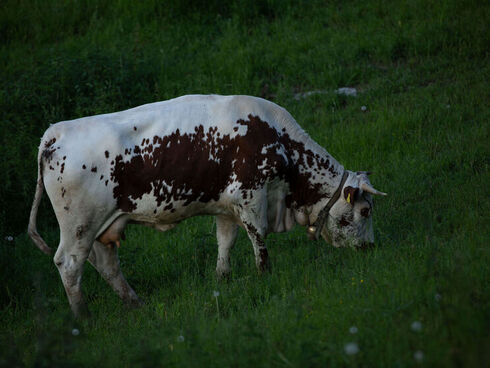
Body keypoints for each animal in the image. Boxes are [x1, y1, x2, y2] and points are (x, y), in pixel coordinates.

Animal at [27, 95, 386, 316]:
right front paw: (264, 276)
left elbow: (225, 242)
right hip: (79, 226)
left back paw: (135, 304)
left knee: (107, 265)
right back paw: (83, 317)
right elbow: (259, 240)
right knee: (69, 265)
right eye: (365, 211)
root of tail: (55, 132)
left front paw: (222, 279)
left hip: (103, 227)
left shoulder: (227, 206)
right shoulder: (250, 197)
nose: (370, 249)